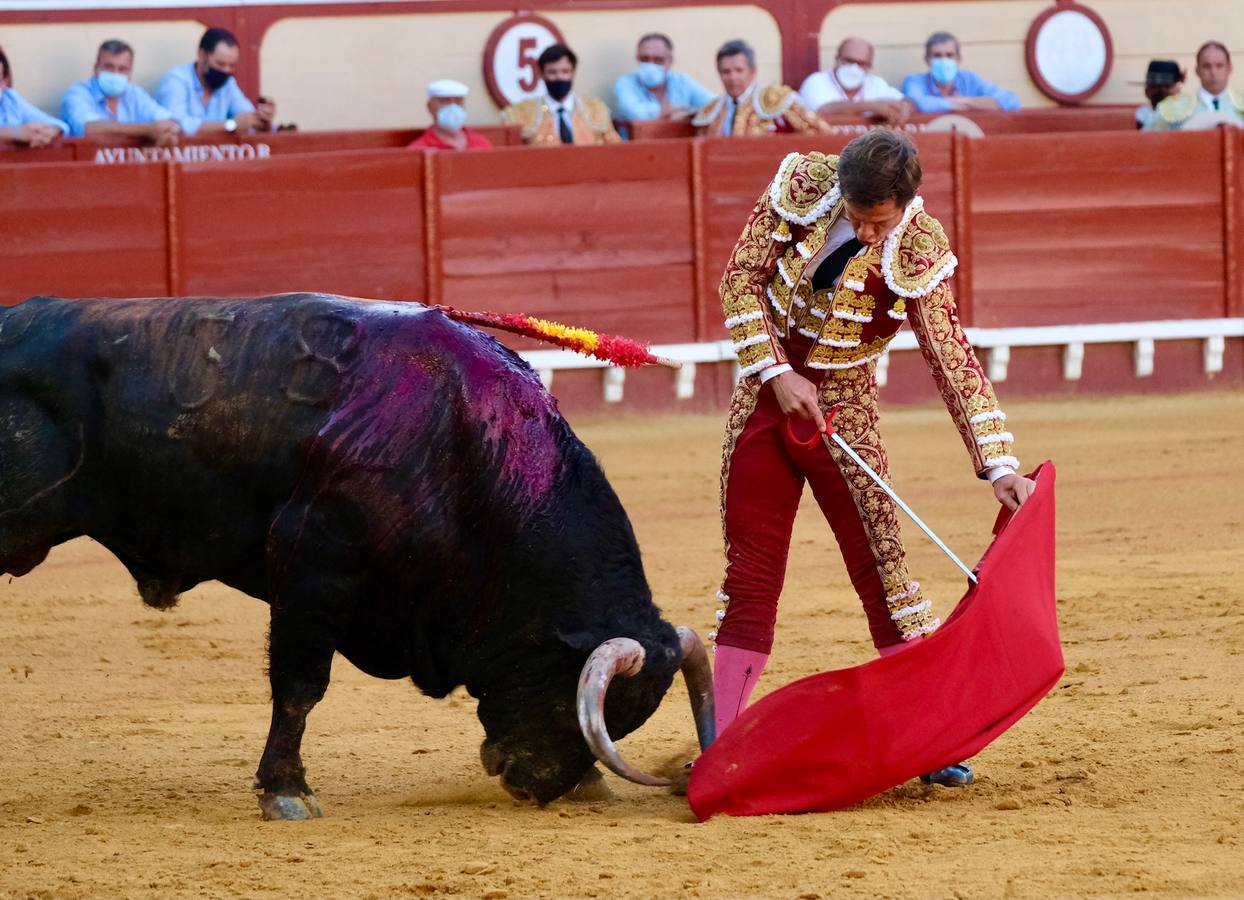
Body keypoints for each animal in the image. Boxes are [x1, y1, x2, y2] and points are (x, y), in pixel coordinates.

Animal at [0, 293, 716, 816]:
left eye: (624, 720)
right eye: (565, 696)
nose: (532, 787)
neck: (465, 449)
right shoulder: (313, 572)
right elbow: (299, 688)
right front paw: (287, 793)